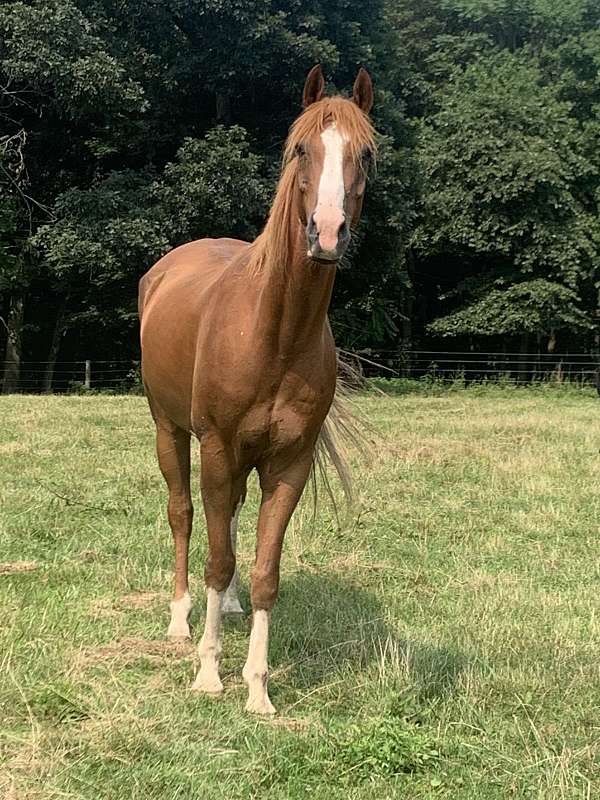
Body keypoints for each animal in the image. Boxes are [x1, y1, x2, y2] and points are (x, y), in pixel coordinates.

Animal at [139, 64, 378, 712]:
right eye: (300, 150)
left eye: (366, 154)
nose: (327, 233)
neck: (274, 333)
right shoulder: (218, 448)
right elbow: (218, 557)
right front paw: (208, 671)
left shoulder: (288, 463)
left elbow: (264, 570)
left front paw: (257, 688)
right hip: (170, 431)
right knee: (184, 514)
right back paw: (180, 620)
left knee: (230, 518)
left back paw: (226, 607)